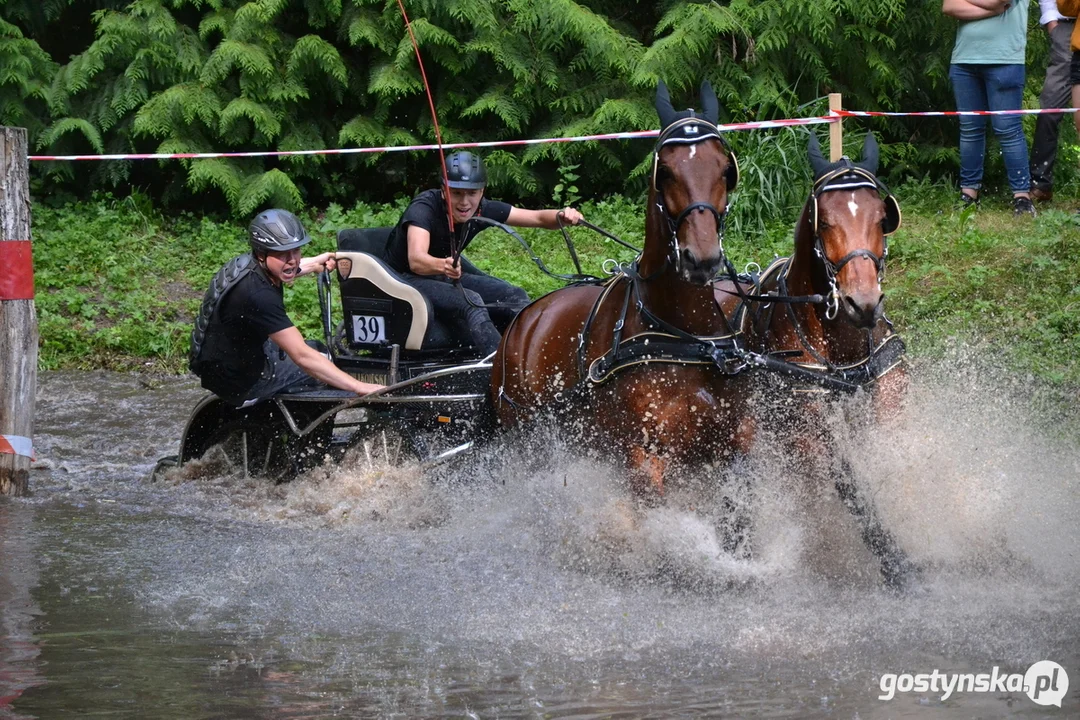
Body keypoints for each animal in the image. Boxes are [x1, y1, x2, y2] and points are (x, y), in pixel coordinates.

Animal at [717, 132, 911, 587]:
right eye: (824, 222)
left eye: (882, 217)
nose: (864, 302)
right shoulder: (806, 425)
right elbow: (848, 484)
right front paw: (892, 558)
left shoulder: (884, 400)